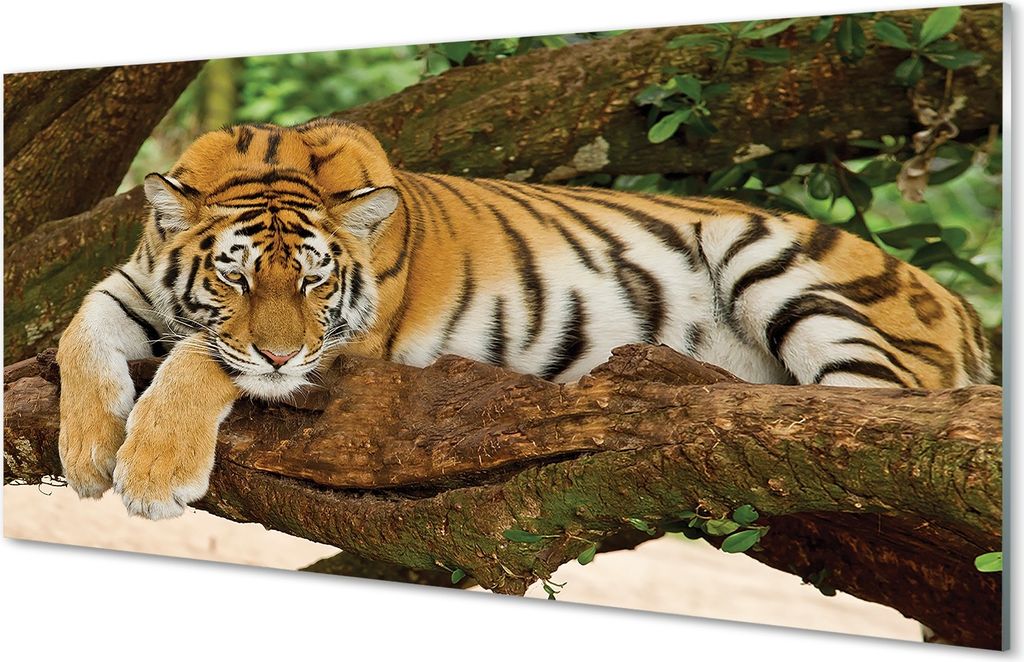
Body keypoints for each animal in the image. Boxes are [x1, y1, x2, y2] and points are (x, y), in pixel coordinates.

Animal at [56, 118, 991, 519]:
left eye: (318, 284)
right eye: (235, 278)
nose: (284, 357)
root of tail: (962, 306)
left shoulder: (341, 348)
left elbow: (203, 359)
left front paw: (152, 471)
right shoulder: (133, 284)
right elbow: (78, 332)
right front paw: (90, 450)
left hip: (770, 256)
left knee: (852, 419)